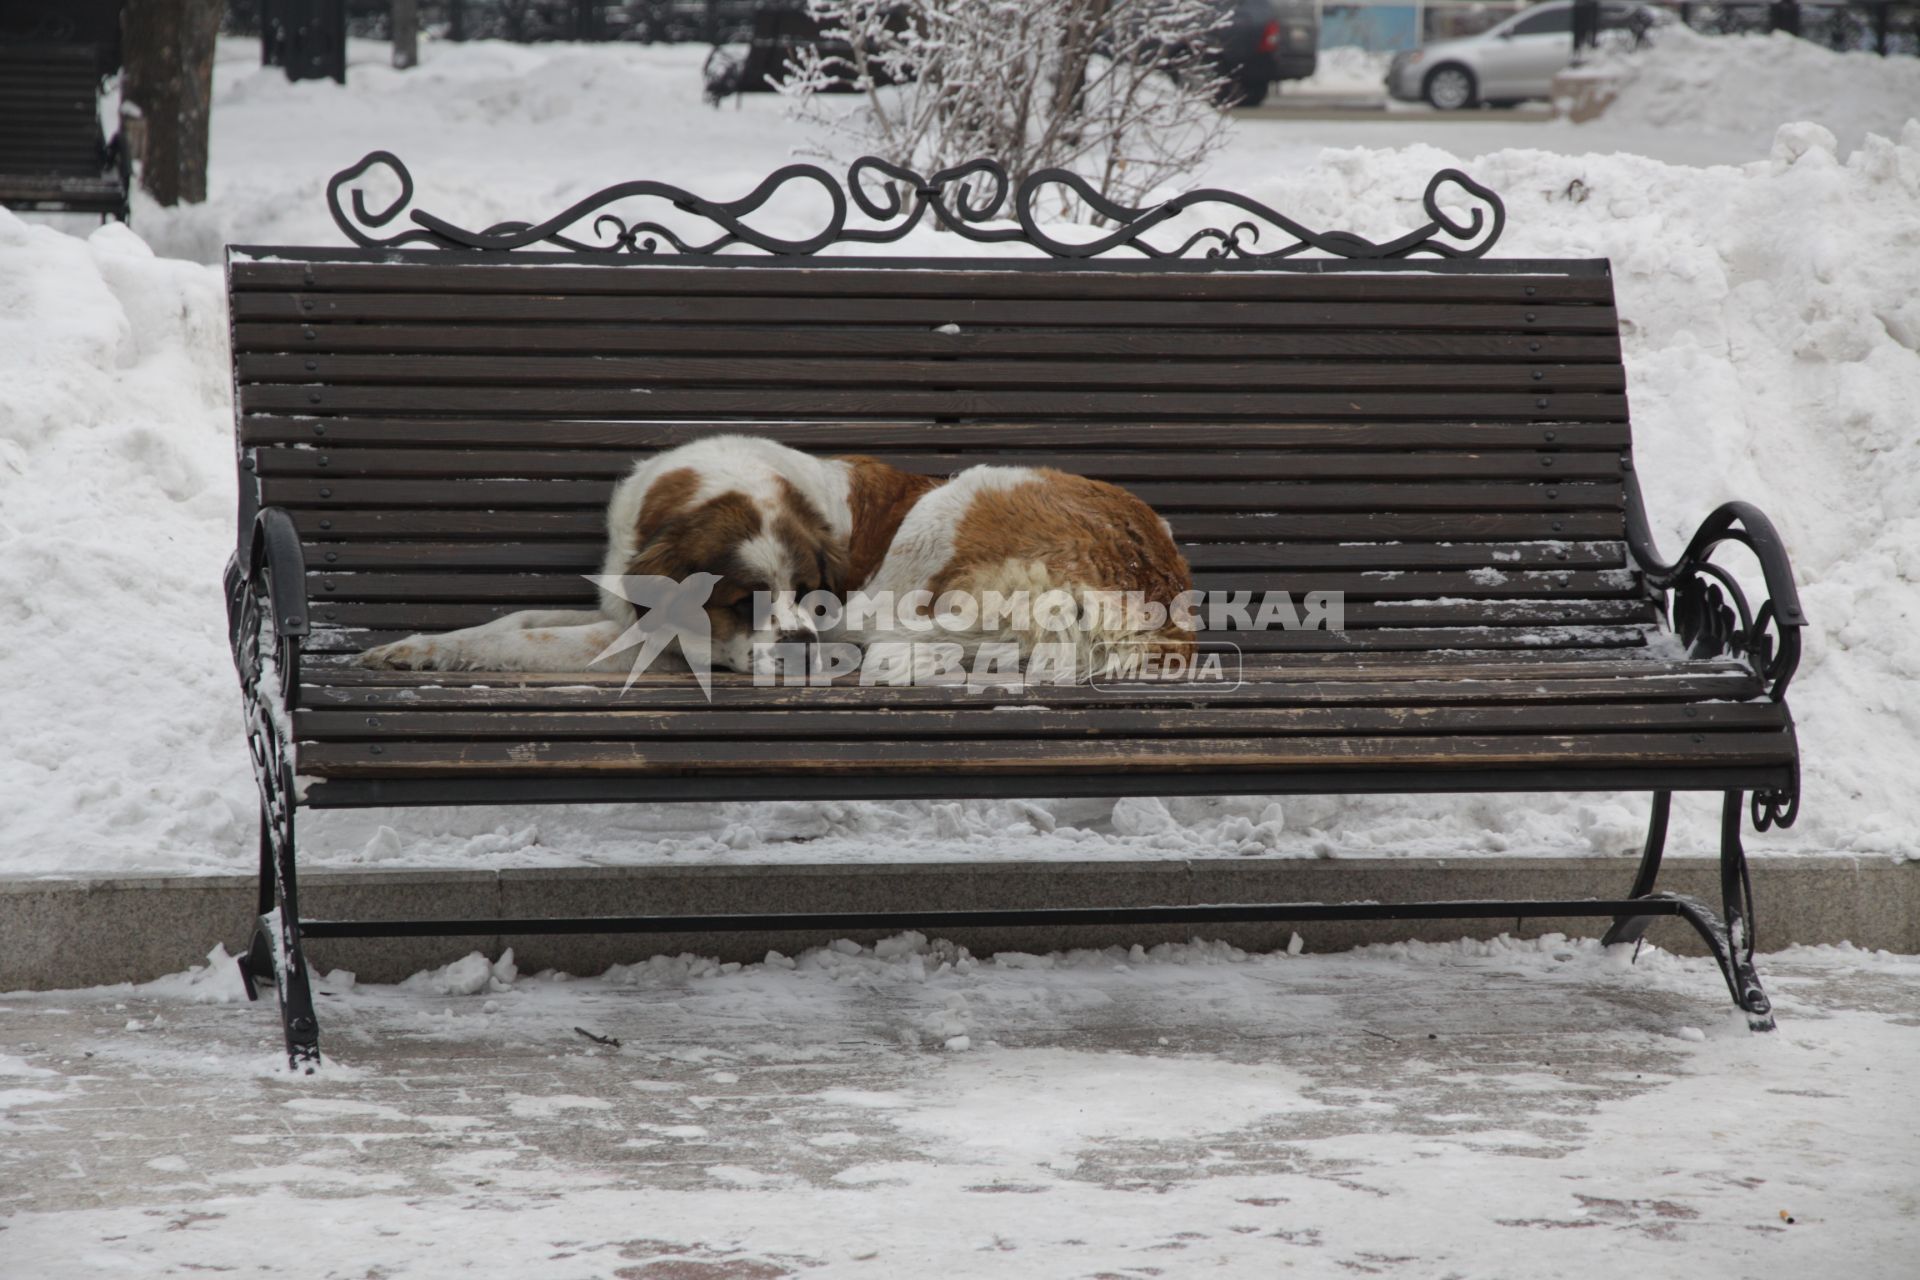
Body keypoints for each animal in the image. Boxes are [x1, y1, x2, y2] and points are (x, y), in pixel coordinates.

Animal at [355, 435, 1190, 679]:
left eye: (812, 594)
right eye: (741, 602)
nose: (801, 644)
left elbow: (521, 635)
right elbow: (513, 618)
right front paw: (413, 647)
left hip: (949, 508)